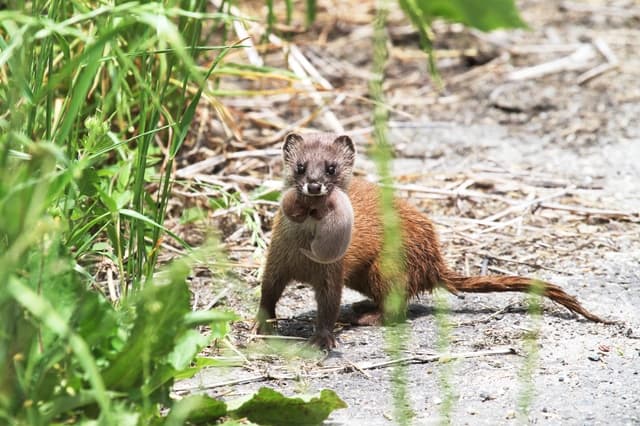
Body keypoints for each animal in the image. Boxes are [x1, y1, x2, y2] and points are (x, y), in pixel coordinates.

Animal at [256, 133, 608, 350]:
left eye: (331, 168)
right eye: (300, 166)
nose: (314, 184)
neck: (307, 252)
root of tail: (435, 261)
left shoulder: (333, 270)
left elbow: (328, 305)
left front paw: (323, 339)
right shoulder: (276, 256)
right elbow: (268, 291)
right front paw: (262, 326)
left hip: (386, 265)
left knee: (397, 303)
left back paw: (365, 316)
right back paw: (361, 306)